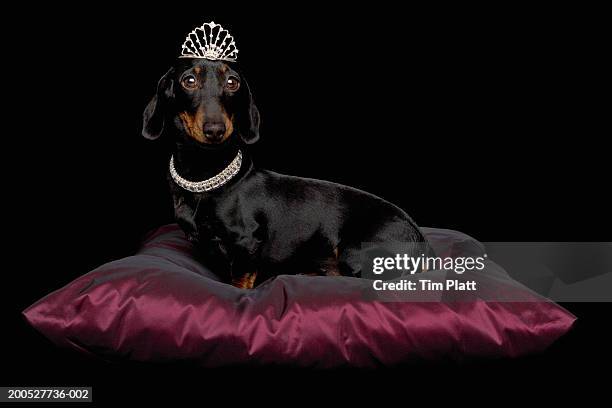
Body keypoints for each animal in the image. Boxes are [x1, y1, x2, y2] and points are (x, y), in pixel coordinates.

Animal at [143, 59, 430, 288]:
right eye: (189, 80)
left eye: (233, 82)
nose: (215, 129)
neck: (207, 176)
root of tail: (423, 243)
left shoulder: (246, 244)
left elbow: (239, 280)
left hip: (356, 252)